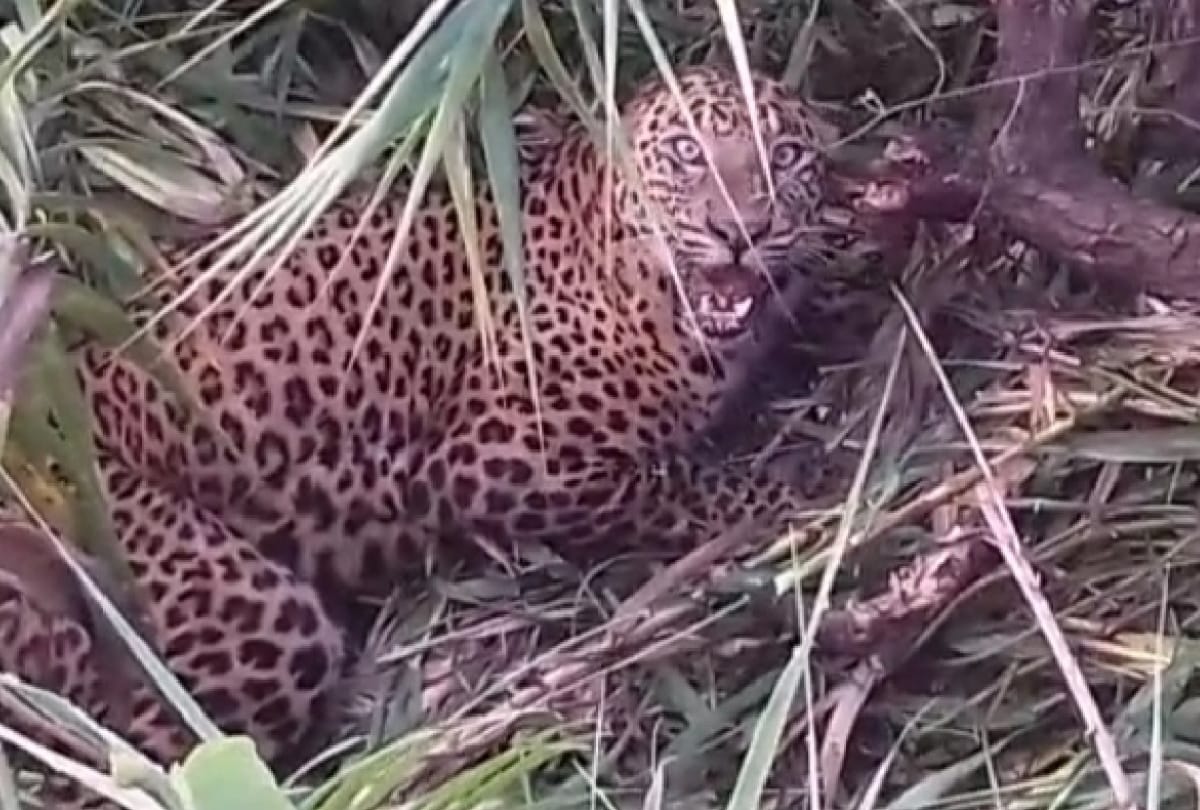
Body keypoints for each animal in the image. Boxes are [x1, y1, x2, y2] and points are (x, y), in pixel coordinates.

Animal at [0, 64, 841, 808]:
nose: (740, 230)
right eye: (687, 152)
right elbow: (680, 481)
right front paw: (800, 494)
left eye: (786, 158)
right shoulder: (498, 461)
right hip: (203, 589)